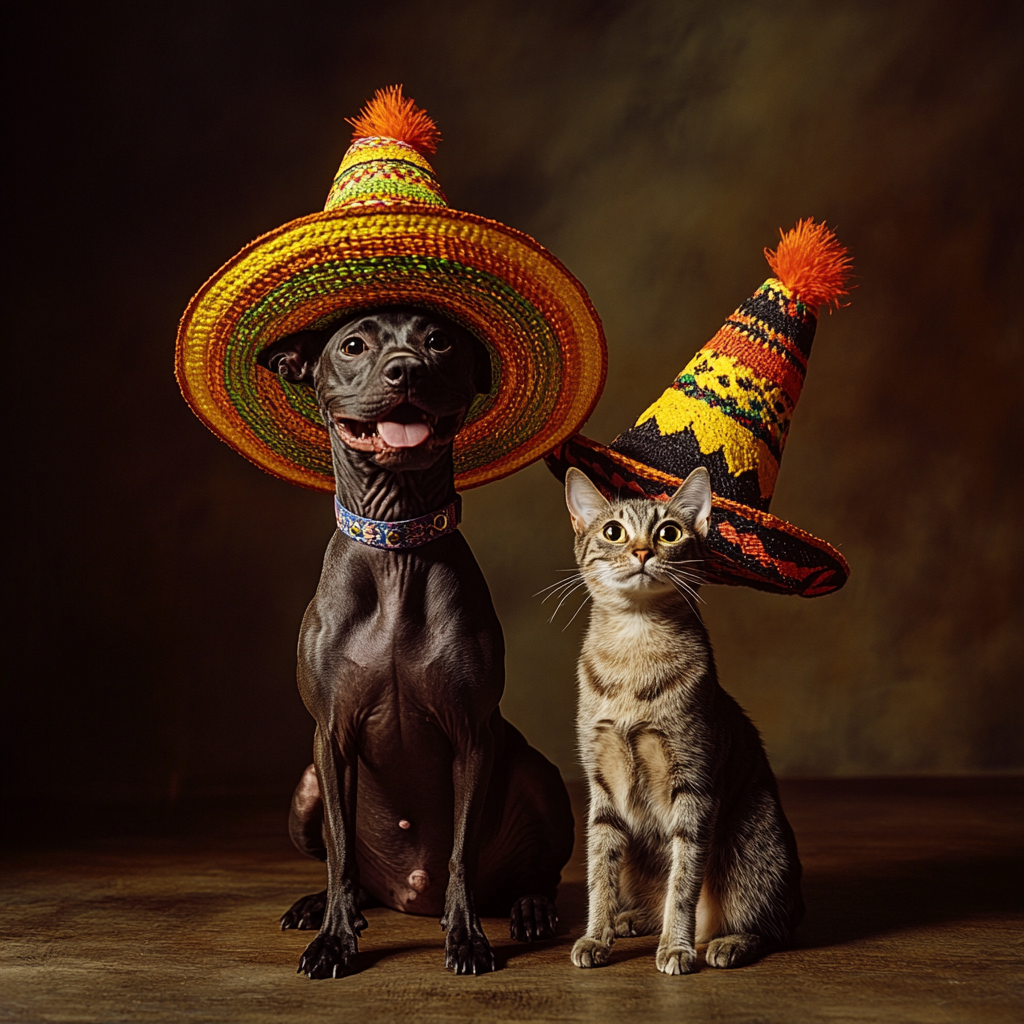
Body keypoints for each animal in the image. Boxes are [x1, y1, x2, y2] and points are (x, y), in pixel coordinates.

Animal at [256, 305, 577, 974]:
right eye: (353, 345)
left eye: (440, 341)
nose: (407, 370)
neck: (396, 548)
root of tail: (407, 896)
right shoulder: (332, 737)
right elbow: (341, 850)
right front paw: (334, 940)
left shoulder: (472, 736)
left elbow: (460, 852)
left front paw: (468, 937)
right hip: (305, 788)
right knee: (349, 874)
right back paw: (324, 906)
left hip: (538, 775)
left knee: (538, 870)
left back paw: (531, 909)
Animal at [565, 468, 802, 970]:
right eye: (613, 531)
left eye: (669, 532)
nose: (642, 551)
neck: (634, 650)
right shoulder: (601, 785)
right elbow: (599, 873)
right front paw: (595, 936)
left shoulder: (693, 784)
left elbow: (683, 883)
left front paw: (676, 946)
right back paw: (628, 920)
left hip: (752, 849)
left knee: (772, 928)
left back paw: (725, 943)